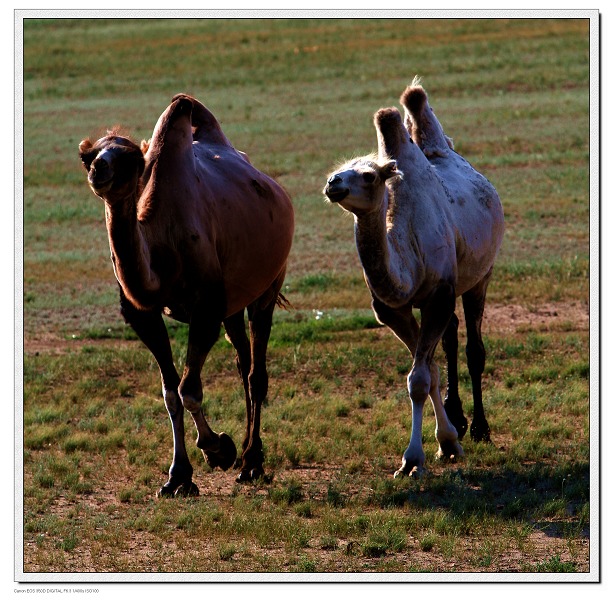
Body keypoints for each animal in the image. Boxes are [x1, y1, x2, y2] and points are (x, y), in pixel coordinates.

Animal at [79, 95, 294, 496]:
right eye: (91, 155)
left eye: (129, 158)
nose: (99, 170)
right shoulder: (143, 314)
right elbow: (169, 392)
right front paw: (178, 476)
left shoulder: (205, 309)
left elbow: (188, 388)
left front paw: (217, 449)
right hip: (233, 301)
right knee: (243, 362)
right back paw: (246, 453)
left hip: (269, 283)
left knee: (256, 372)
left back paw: (251, 462)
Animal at [322, 85, 504, 478]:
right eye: (338, 171)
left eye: (369, 175)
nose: (332, 184)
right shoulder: (393, 309)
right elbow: (429, 370)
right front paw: (447, 441)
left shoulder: (438, 295)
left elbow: (419, 379)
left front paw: (413, 459)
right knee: (451, 337)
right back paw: (458, 418)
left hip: (481, 275)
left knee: (474, 347)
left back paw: (481, 428)